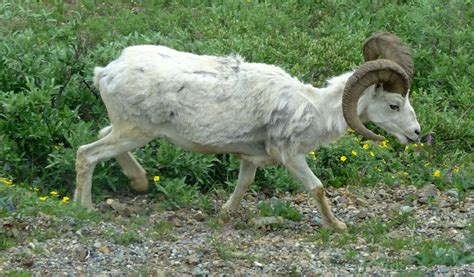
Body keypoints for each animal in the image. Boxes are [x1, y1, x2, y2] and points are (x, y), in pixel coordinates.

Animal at [76, 33, 420, 231]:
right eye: (394, 105)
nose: (416, 134)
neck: (314, 109)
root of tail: (105, 72)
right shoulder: (291, 157)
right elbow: (318, 188)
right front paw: (338, 226)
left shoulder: (249, 158)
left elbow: (244, 184)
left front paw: (224, 215)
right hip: (135, 132)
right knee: (86, 154)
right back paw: (86, 208)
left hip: (127, 130)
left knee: (101, 139)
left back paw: (136, 182)